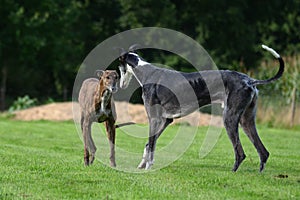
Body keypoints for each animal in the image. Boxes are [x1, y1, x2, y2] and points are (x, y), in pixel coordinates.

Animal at [118, 45, 284, 172]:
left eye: (119, 67)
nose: (120, 86)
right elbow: (149, 144)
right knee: (263, 152)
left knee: (240, 153)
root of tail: (250, 80)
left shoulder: (154, 118)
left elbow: (151, 143)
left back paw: (233, 172)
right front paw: (142, 165)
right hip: (246, 120)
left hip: (229, 118)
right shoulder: (166, 120)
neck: (147, 73)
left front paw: (148, 167)